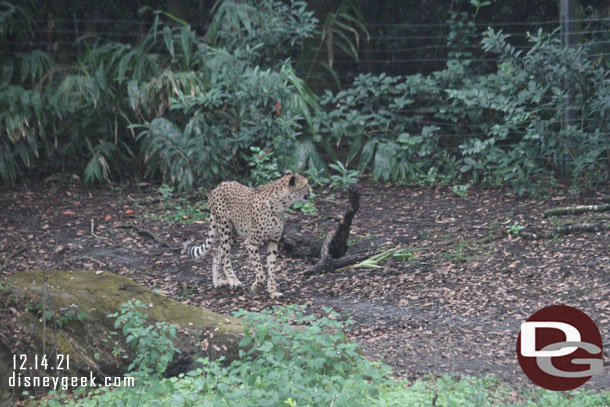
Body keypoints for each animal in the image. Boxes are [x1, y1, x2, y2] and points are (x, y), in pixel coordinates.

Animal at [183, 172, 312, 300]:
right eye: (306, 184)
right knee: (225, 258)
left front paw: (273, 291)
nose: (311, 191)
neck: (280, 204)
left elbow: (271, 269)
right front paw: (257, 287)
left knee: (217, 252)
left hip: (233, 233)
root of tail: (220, 185)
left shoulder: (273, 241)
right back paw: (234, 281)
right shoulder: (251, 242)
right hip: (226, 228)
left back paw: (217, 281)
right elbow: (260, 271)